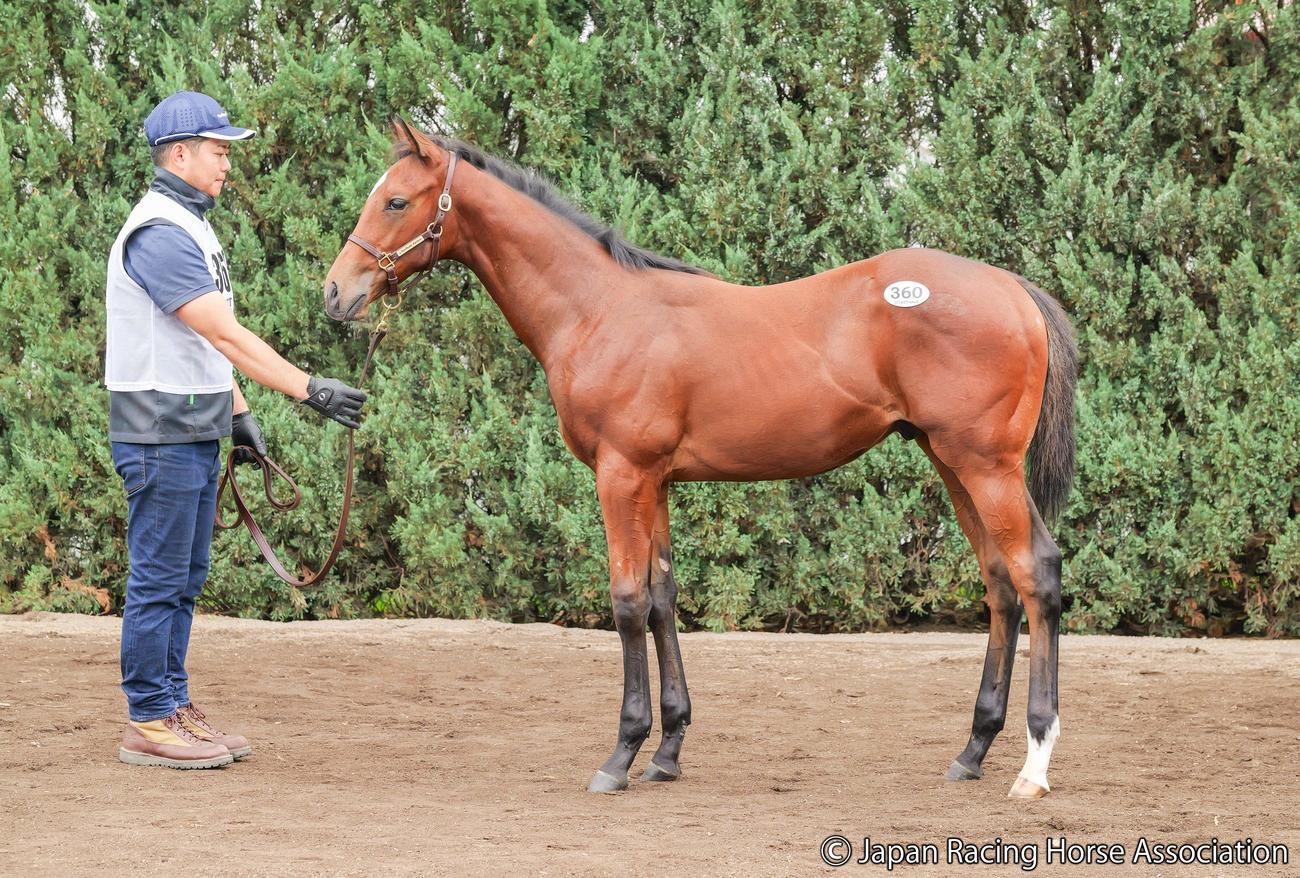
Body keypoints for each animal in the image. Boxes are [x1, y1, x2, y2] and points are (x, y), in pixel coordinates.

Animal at [323, 118, 1078, 799]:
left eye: (396, 201)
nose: (336, 293)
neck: (600, 309)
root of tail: (1015, 290)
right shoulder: (653, 481)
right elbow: (663, 599)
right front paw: (667, 750)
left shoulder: (620, 475)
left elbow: (628, 602)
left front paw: (621, 755)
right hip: (951, 463)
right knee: (999, 584)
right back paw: (973, 750)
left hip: (985, 465)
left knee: (1035, 572)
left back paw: (1035, 763)